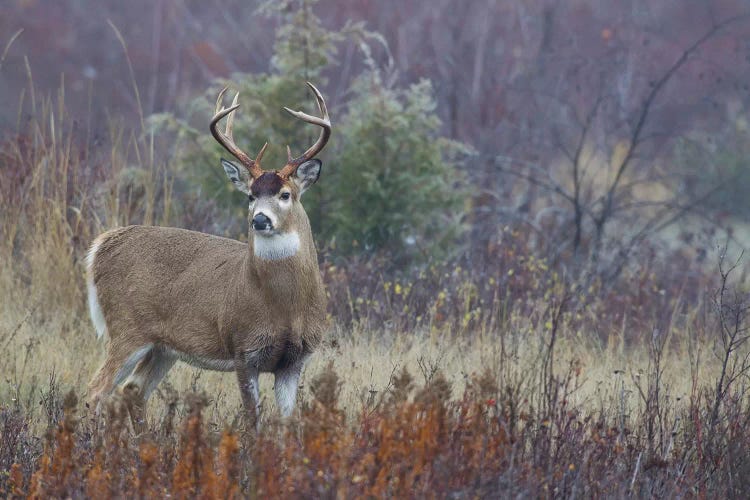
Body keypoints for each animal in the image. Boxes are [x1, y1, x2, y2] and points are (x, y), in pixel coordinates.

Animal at [83, 81, 330, 430]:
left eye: (286, 194)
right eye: (251, 195)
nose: (260, 220)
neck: (284, 307)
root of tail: (101, 245)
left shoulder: (294, 359)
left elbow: (287, 422)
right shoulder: (243, 348)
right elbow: (252, 420)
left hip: (163, 347)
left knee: (132, 390)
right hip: (126, 327)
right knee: (96, 391)